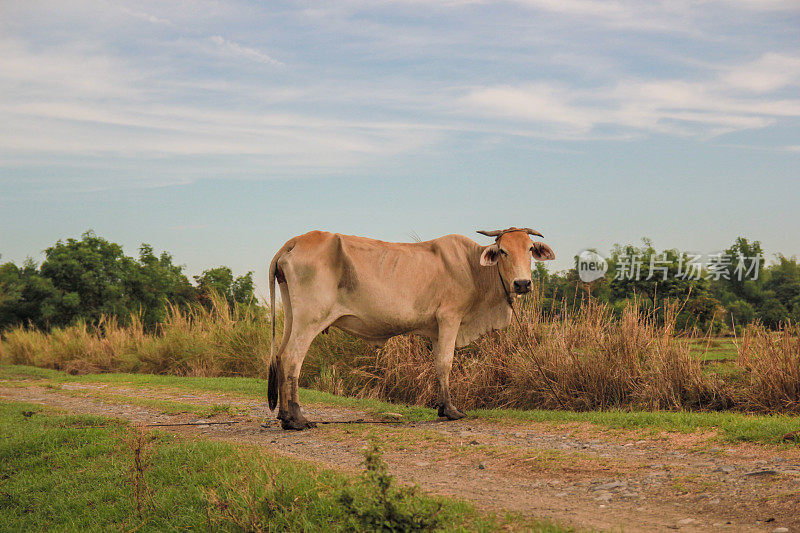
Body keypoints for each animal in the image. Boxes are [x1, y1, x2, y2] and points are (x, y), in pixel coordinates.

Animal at [268, 225, 556, 428]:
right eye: (503, 251)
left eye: (530, 249)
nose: (522, 283)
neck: (474, 268)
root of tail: (294, 242)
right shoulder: (449, 318)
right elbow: (445, 362)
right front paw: (451, 410)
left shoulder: (436, 328)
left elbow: (438, 363)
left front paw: (441, 407)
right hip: (310, 318)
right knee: (292, 358)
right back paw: (297, 420)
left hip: (292, 315)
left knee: (280, 356)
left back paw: (284, 416)